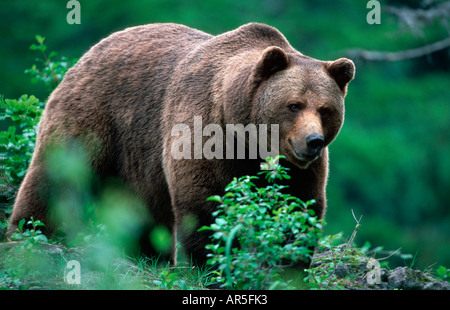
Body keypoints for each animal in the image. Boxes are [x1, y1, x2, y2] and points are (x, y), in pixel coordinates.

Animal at [5, 23, 354, 266]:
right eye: (294, 105)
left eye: (325, 109)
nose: (313, 141)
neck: (244, 133)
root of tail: (91, 51)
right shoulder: (202, 128)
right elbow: (203, 202)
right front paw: (212, 263)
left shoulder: (298, 170)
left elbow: (299, 207)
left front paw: (288, 262)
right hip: (95, 114)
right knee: (56, 175)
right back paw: (27, 233)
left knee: (141, 209)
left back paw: (147, 257)